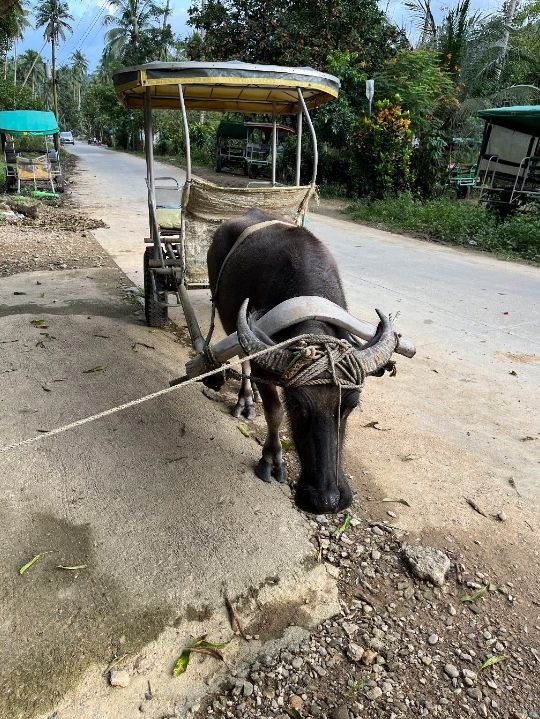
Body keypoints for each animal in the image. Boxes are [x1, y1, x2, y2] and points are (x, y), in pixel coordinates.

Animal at [207, 207, 396, 512]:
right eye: (297, 405)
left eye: (351, 405)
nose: (327, 501)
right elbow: (274, 411)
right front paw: (271, 458)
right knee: (242, 355)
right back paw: (246, 398)